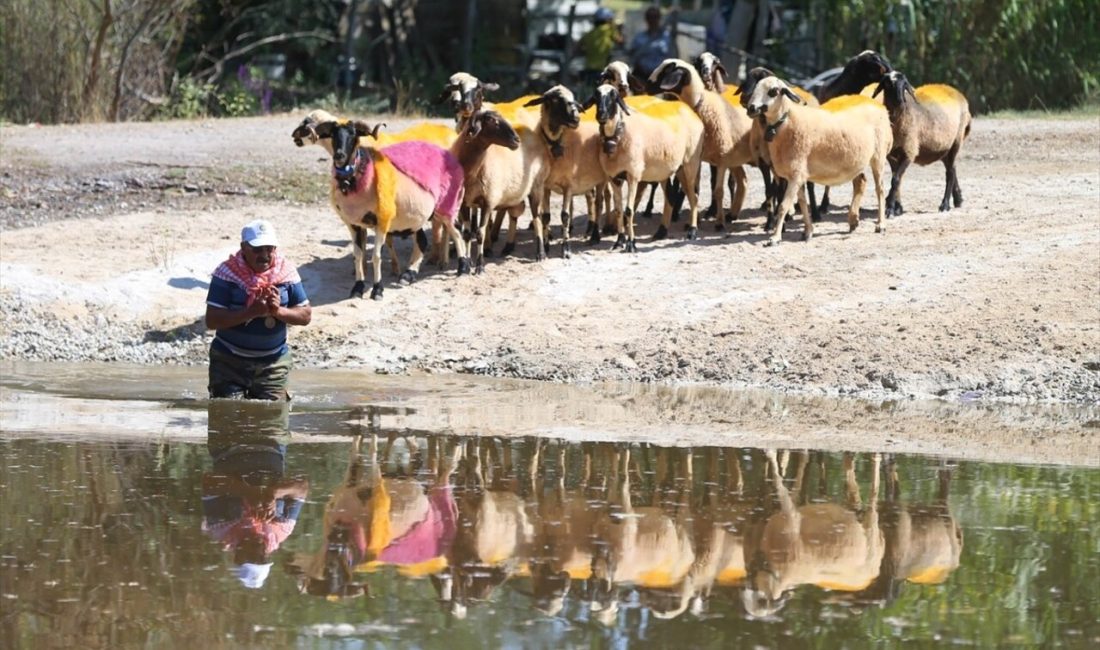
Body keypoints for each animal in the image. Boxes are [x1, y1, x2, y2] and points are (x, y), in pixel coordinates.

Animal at [748, 75, 893, 246]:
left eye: (774, 91)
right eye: (755, 87)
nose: (751, 108)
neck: (789, 121)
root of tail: (878, 105)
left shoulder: (796, 174)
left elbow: (784, 206)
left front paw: (775, 238)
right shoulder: (798, 174)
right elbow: (802, 203)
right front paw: (808, 232)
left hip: (878, 155)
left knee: (880, 189)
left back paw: (881, 225)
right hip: (856, 160)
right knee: (861, 182)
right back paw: (853, 220)